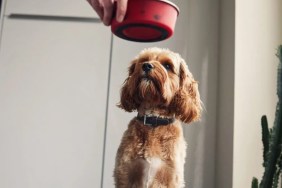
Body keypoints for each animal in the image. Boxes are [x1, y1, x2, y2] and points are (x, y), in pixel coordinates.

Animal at [113, 47, 202, 187]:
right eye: (143, 60)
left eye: (167, 66)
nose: (146, 65)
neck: (153, 121)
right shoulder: (125, 174)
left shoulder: (170, 177)